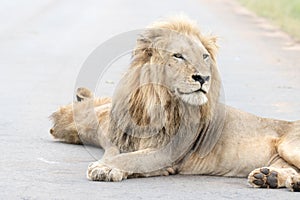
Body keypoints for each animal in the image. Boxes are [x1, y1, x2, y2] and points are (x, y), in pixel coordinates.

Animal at [49, 16, 300, 191]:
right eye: (178, 56)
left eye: (205, 56)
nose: (203, 77)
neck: (156, 101)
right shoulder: (118, 140)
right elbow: (116, 153)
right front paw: (106, 163)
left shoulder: (167, 153)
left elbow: (131, 159)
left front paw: (105, 167)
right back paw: (271, 178)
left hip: (289, 146)